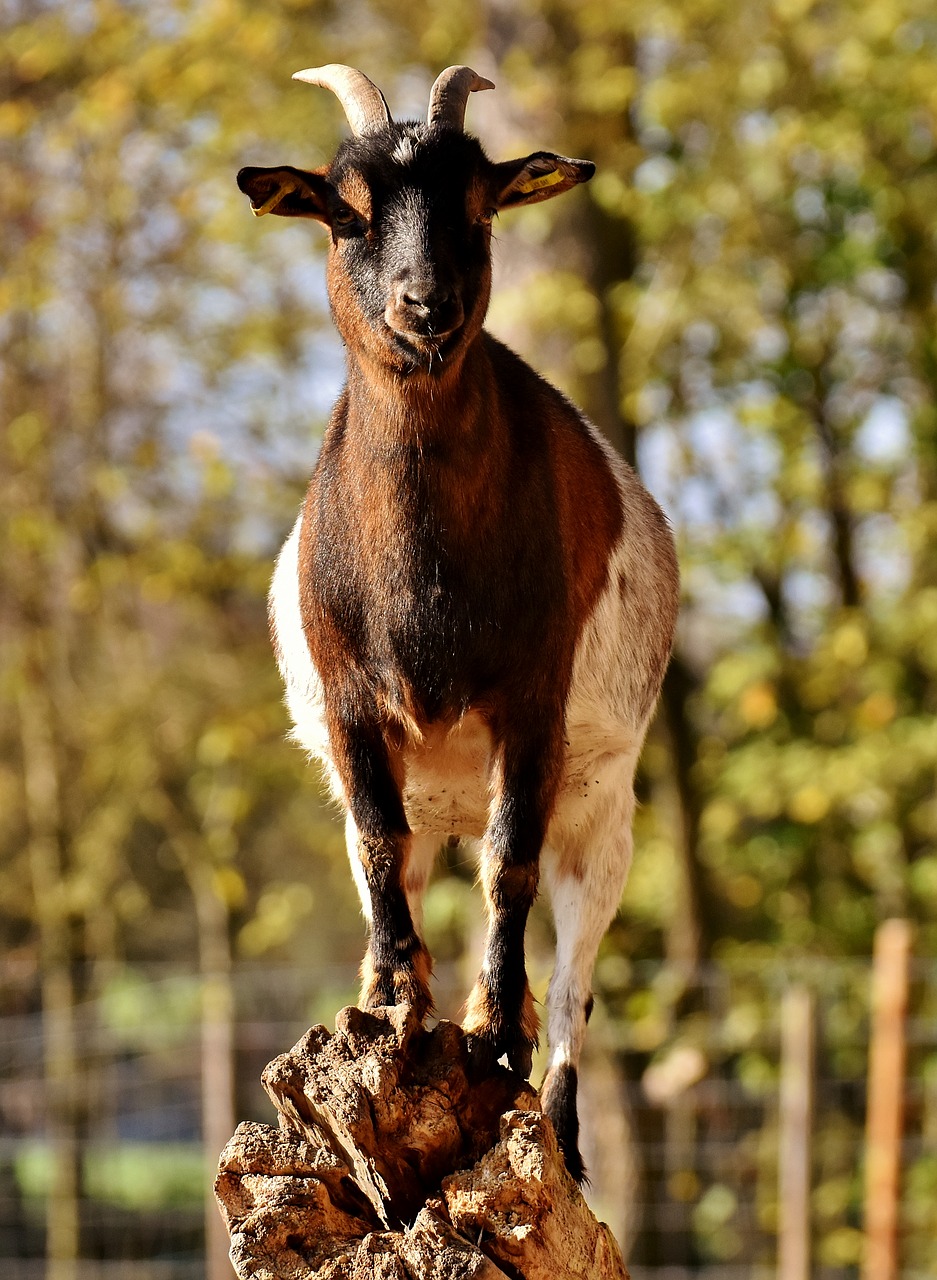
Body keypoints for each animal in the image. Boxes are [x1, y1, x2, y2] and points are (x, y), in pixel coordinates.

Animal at [239, 62, 680, 1177]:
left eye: (480, 205)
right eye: (344, 212)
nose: (425, 305)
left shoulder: (533, 702)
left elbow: (512, 861)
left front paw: (491, 1029)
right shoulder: (353, 709)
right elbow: (377, 841)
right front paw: (394, 994)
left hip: (604, 814)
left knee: (574, 977)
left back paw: (556, 1119)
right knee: (399, 858)